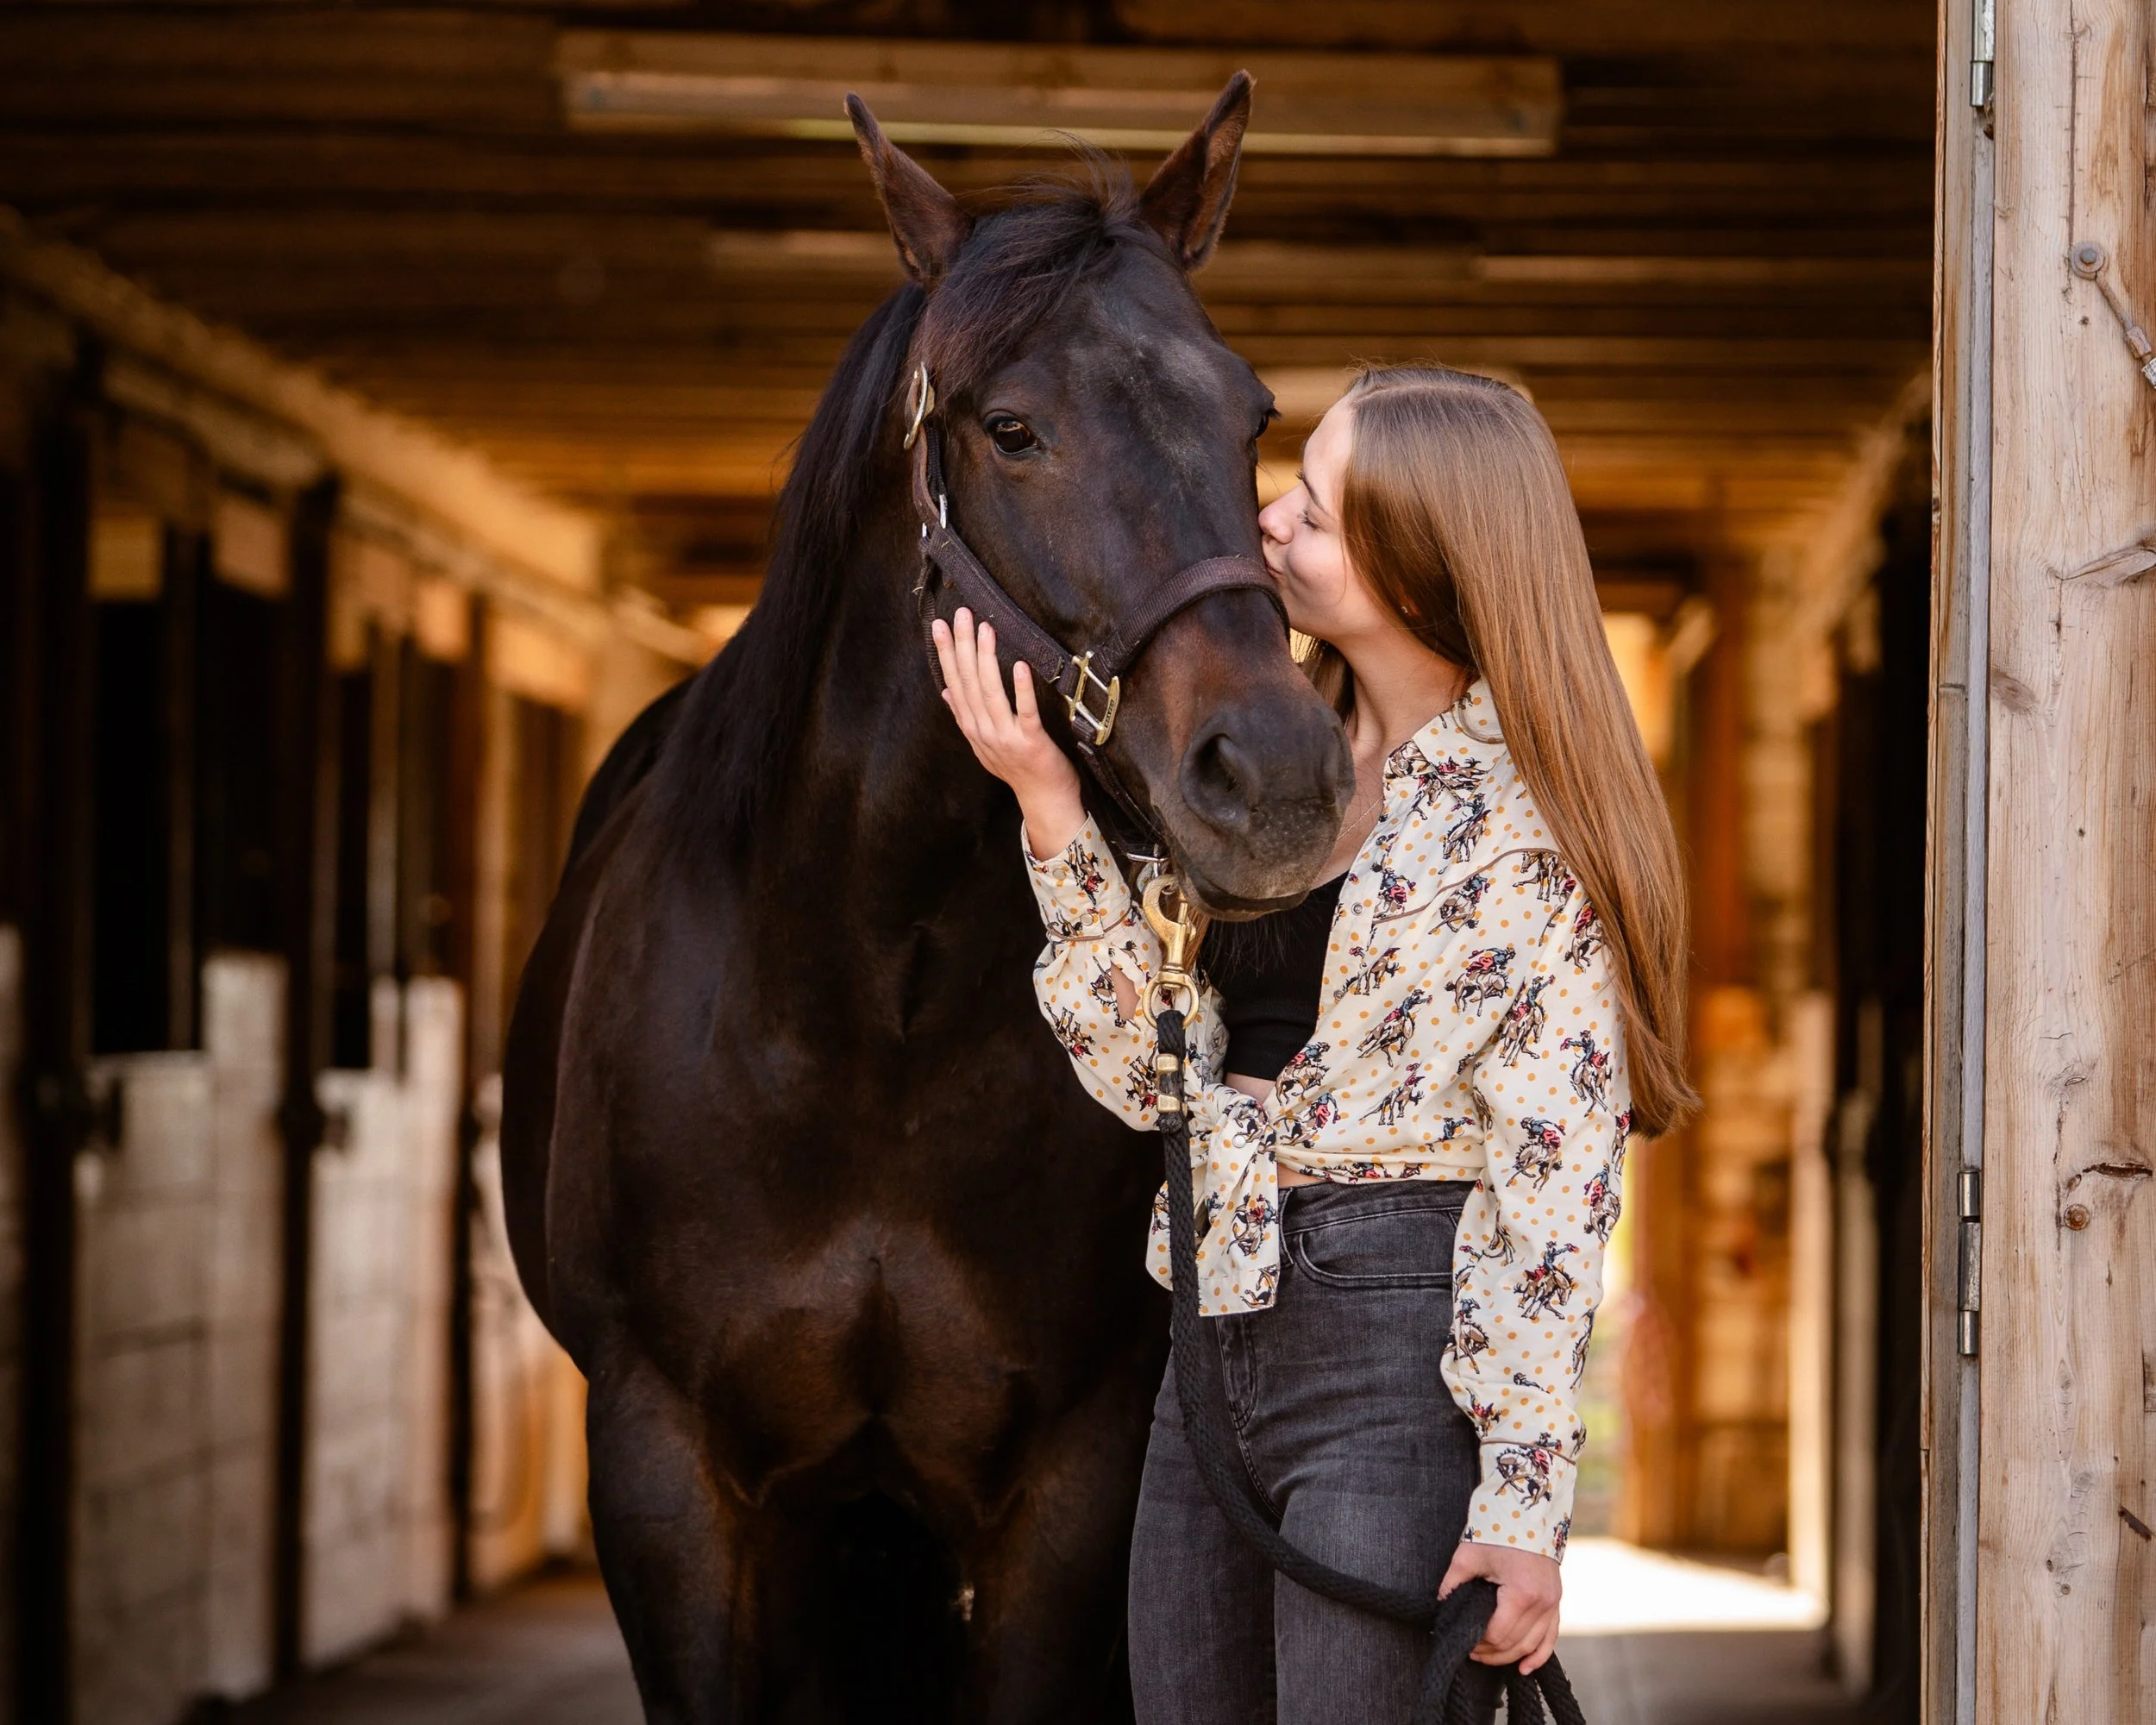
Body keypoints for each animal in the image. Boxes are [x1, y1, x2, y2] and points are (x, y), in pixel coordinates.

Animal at [501, 80, 1354, 1723]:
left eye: (1251, 414)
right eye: (1009, 429)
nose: (1276, 776)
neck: (869, 1009)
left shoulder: (1069, 1487)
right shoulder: (666, 1475)